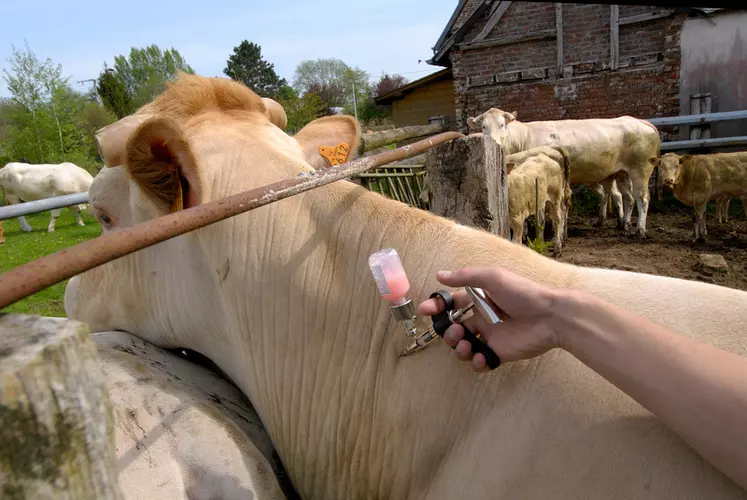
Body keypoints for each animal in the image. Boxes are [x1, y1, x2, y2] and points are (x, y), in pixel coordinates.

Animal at [468, 108, 660, 236]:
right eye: (483, 127)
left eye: (502, 125)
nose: (494, 142)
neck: (523, 137)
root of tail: (641, 121)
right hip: (621, 174)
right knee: (626, 197)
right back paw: (623, 224)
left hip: (640, 170)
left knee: (642, 198)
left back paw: (640, 230)